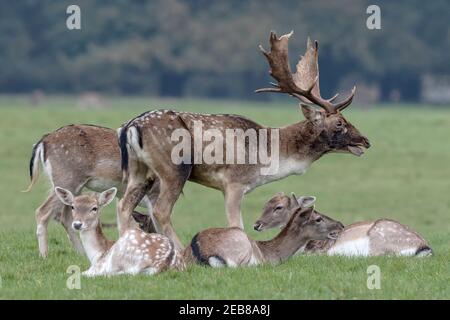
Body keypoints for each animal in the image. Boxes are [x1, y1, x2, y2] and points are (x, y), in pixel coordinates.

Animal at [54, 186, 183, 276]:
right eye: (72, 206)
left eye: (94, 208)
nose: (77, 224)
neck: (97, 254)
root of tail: (162, 264)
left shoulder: (99, 266)